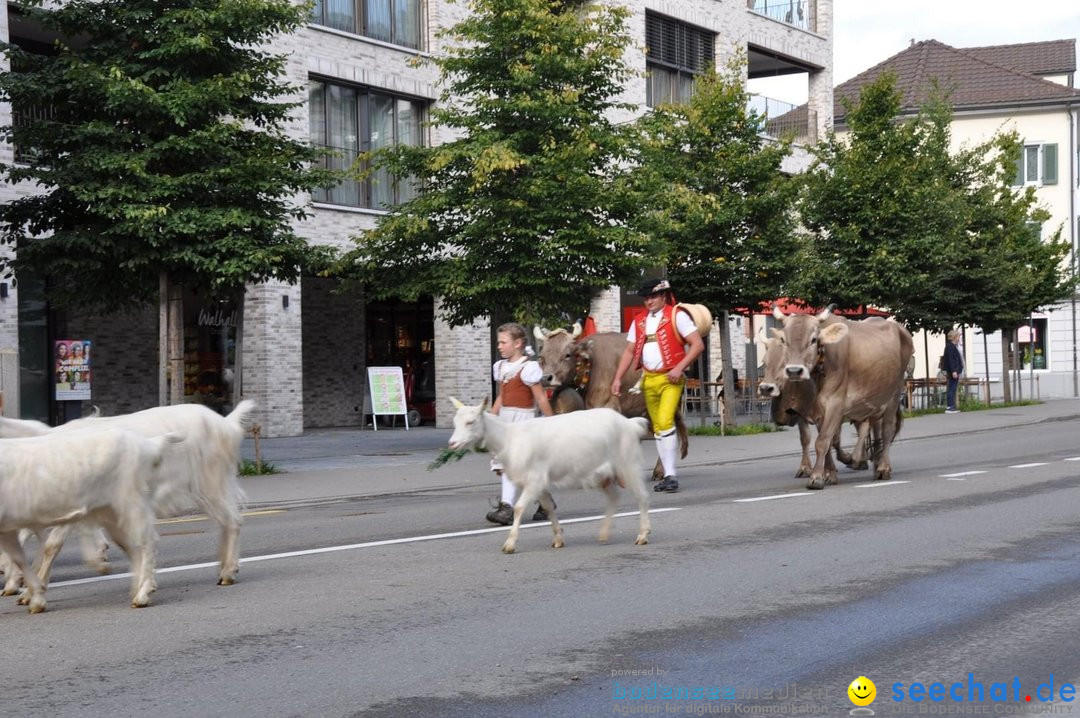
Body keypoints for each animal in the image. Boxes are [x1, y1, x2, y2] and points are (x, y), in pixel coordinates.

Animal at [0, 399, 254, 587]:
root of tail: (226, 423)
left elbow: (50, 544)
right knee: (226, 522)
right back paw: (224, 565)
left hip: (210, 482)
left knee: (233, 521)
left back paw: (228, 572)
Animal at [0, 425, 179, 608]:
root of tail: (148, 444)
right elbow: (20, 556)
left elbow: (44, 548)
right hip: (111, 512)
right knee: (130, 547)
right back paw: (137, 588)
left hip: (133, 503)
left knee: (148, 541)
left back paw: (142, 594)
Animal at [447, 397, 648, 552]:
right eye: (455, 422)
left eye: (471, 422)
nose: (452, 443)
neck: (509, 438)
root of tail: (629, 423)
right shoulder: (540, 482)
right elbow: (548, 507)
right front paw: (558, 539)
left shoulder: (534, 480)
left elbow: (519, 507)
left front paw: (510, 544)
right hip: (601, 474)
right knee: (614, 497)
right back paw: (604, 533)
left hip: (628, 464)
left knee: (642, 497)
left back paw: (643, 534)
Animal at [760, 304, 911, 490]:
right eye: (784, 341)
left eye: (813, 339)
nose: (794, 370)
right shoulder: (817, 411)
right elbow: (825, 440)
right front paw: (829, 473)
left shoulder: (835, 404)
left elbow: (822, 441)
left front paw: (816, 477)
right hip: (873, 402)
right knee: (874, 428)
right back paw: (874, 461)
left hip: (893, 395)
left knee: (887, 429)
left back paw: (882, 467)